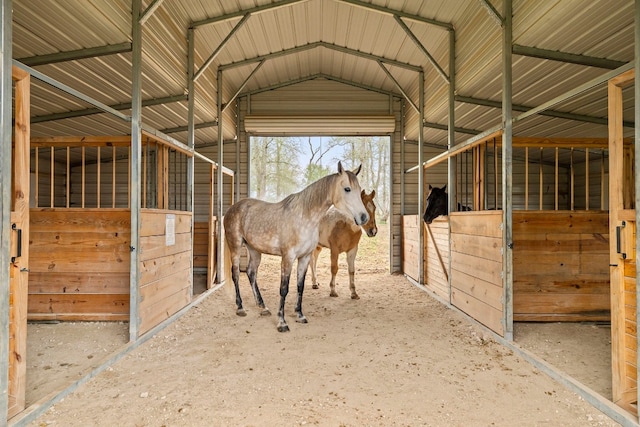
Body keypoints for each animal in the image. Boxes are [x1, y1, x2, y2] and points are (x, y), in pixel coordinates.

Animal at [224, 162, 368, 332]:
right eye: (347, 189)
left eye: (359, 189)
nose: (363, 217)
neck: (305, 217)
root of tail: (233, 208)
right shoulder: (288, 258)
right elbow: (284, 288)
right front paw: (282, 322)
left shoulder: (304, 258)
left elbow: (300, 286)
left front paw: (300, 315)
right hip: (236, 247)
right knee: (236, 274)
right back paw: (240, 308)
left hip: (254, 250)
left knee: (251, 273)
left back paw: (263, 307)